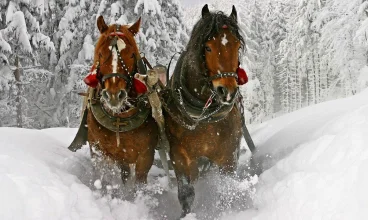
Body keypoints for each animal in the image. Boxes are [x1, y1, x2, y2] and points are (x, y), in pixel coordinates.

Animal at [71, 15, 159, 187]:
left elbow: (139, 183)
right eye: (100, 53)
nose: (113, 95)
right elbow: (103, 176)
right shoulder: (99, 150)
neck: (120, 118)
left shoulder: (146, 156)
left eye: (131, 55)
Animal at [163, 4, 246, 217]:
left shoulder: (228, 154)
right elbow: (186, 193)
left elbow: (226, 189)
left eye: (237, 46)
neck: (203, 116)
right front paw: (186, 215)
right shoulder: (180, 156)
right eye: (208, 47)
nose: (227, 91)